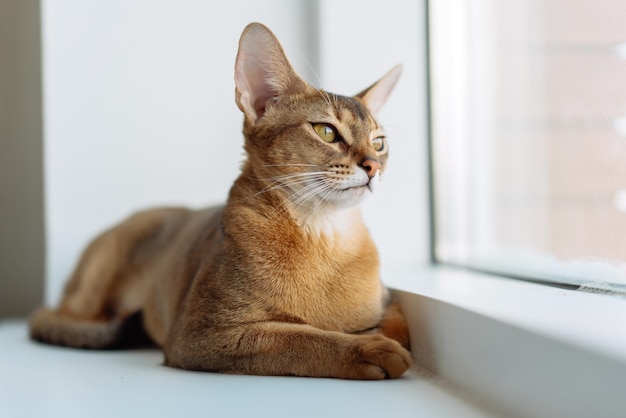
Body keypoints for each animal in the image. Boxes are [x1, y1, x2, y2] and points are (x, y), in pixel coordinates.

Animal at [29, 23, 412, 382]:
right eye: (326, 132)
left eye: (379, 143)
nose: (373, 166)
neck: (323, 235)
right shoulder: (201, 334)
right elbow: (300, 338)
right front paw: (367, 348)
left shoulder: (387, 298)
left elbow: (398, 323)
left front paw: (378, 333)